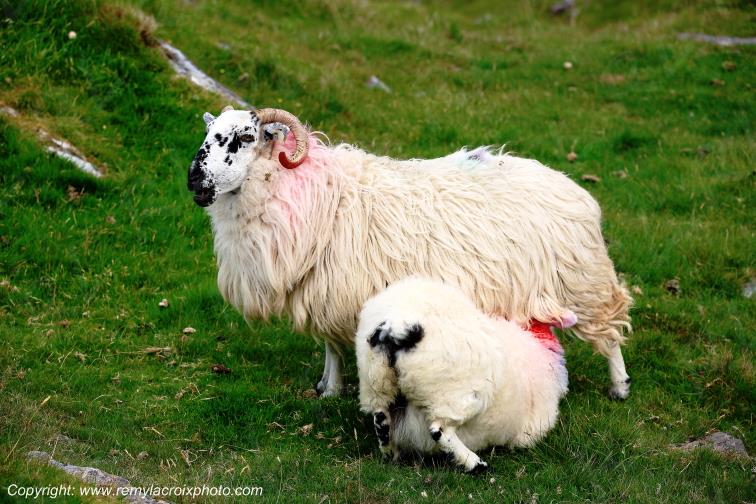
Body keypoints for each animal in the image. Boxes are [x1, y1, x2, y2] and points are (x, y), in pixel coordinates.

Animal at [187, 107, 632, 399]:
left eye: (245, 137)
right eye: (208, 135)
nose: (194, 180)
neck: (317, 192)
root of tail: (574, 188)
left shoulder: (343, 290)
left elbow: (335, 345)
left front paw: (335, 389)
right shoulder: (324, 291)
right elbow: (330, 346)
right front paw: (328, 387)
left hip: (584, 282)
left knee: (611, 334)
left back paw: (620, 387)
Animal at [356, 276, 570, 473]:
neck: (536, 343)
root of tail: (399, 327)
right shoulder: (531, 429)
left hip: (375, 382)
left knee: (381, 419)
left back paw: (391, 452)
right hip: (455, 394)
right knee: (439, 430)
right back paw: (474, 463)